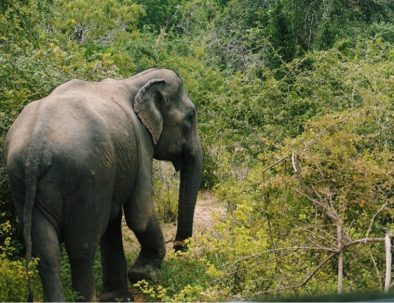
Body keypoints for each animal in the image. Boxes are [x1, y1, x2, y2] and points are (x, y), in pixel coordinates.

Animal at [2, 67, 200, 302]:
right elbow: (139, 214)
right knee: (82, 247)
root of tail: (35, 150)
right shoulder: (140, 143)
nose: (179, 248)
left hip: (22, 181)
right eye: (191, 116)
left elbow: (113, 221)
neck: (135, 81)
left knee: (46, 251)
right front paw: (144, 276)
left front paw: (120, 296)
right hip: (87, 177)